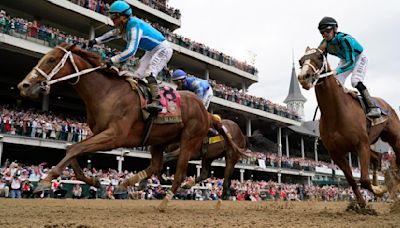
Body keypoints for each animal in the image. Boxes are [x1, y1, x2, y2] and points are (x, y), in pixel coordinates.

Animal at [17, 43, 242, 211]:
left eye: (51, 60)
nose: (23, 86)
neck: (107, 92)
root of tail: (206, 113)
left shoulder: (115, 135)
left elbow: (75, 149)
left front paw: (45, 181)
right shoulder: (100, 133)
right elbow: (72, 149)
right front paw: (94, 182)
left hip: (192, 141)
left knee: (189, 175)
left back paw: (167, 201)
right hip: (159, 140)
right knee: (160, 165)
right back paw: (126, 185)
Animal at [296, 47, 400, 211]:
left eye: (319, 57)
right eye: (301, 60)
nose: (303, 77)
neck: (336, 112)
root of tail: (386, 105)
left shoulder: (361, 145)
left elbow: (364, 179)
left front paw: (380, 189)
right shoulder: (336, 153)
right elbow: (352, 179)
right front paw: (362, 202)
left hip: (394, 138)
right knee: (377, 158)